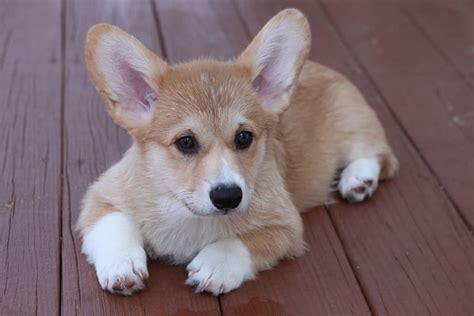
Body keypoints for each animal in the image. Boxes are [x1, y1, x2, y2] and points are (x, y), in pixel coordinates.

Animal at [77, 8, 396, 296]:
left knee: (380, 156)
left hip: (354, 125)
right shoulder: (100, 195)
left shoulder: (286, 226)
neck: (188, 214)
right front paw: (122, 265)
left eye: (244, 137)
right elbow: (113, 224)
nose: (228, 196)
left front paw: (216, 265)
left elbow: (242, 242)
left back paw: (358, 180)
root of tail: (326, 67)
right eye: (186, 142)